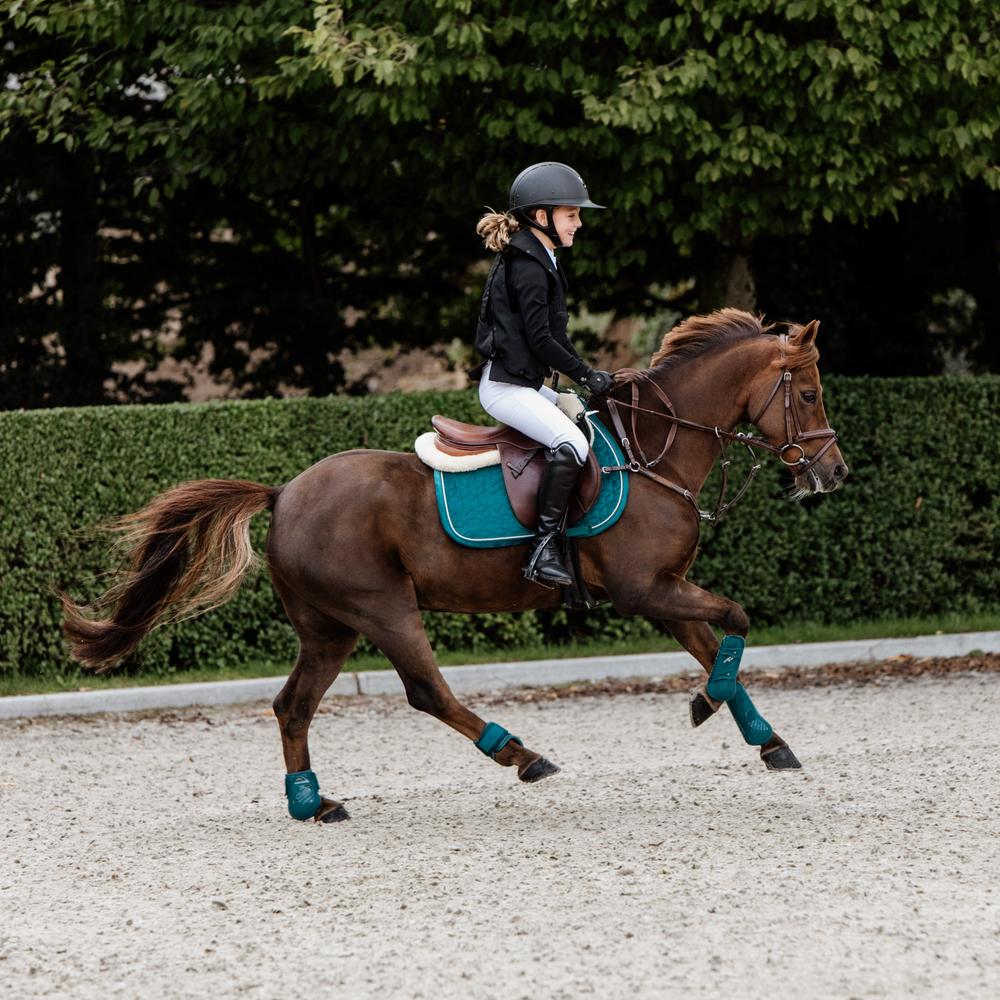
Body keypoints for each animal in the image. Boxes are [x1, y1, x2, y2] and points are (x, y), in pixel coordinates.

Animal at [62, 309, 848, 823]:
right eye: (809, 393)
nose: (833, 474)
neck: (652, 450)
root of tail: (284, 493)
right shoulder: (645, 589)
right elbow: (735, 623)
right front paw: (706, 707)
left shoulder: (664, 591)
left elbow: (719, 650)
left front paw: (765, 740)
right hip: (383, 608)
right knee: (426, 692)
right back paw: (521, 755)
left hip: (329, 628)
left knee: (294, 705)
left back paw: (313, 803)